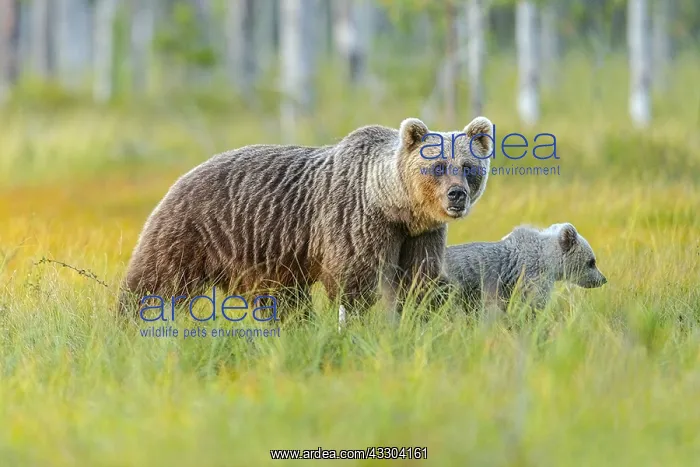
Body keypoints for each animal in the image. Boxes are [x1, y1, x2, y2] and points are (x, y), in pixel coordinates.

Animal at [119, 116, 494, 321]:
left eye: (468, 166)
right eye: (438, 166)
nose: (456, 195)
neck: (392, 204)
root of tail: (183, 175)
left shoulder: (419, 235)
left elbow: (420, 280)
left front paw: (419, 315)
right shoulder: (355, 220)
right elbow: (354, 283)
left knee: (283, 300)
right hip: (193, 228)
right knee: (155, 281)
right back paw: (131, 320)